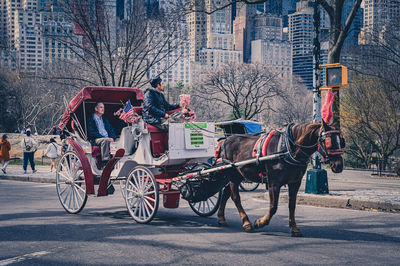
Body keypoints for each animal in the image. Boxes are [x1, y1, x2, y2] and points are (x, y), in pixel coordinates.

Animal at [216, 120, 344, 237]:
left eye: (341, 141)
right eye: (328, 141)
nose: (339, 165)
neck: (288, 148)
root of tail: (225, 140)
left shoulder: (295, 182)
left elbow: (292, 205)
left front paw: (294, 228)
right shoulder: (274, 183)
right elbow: (273, 207)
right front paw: (260, 222)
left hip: (238, 176)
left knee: (226, 193)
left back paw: (221, 218)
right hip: (233, 176)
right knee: (235, 197)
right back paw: (246, 222)